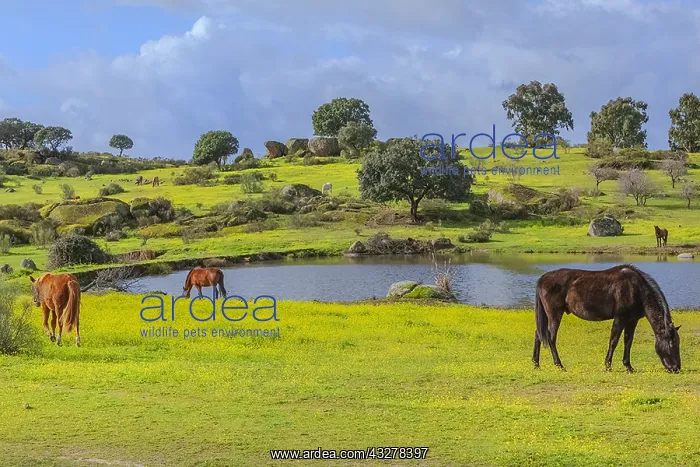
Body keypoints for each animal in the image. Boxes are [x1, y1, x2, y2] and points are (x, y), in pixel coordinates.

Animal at [533, 265, 681, 373]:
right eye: (672, 343)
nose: (676, 368)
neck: (636, 289)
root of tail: (542, 279)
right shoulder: (620, 318)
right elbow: (613, 341)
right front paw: (608, 366)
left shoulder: (632, 320)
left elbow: (628, 342)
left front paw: (628, 366)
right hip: (554, 314)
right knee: (551, 337)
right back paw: (559, 365)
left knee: (538, 334)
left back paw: (536, 363)